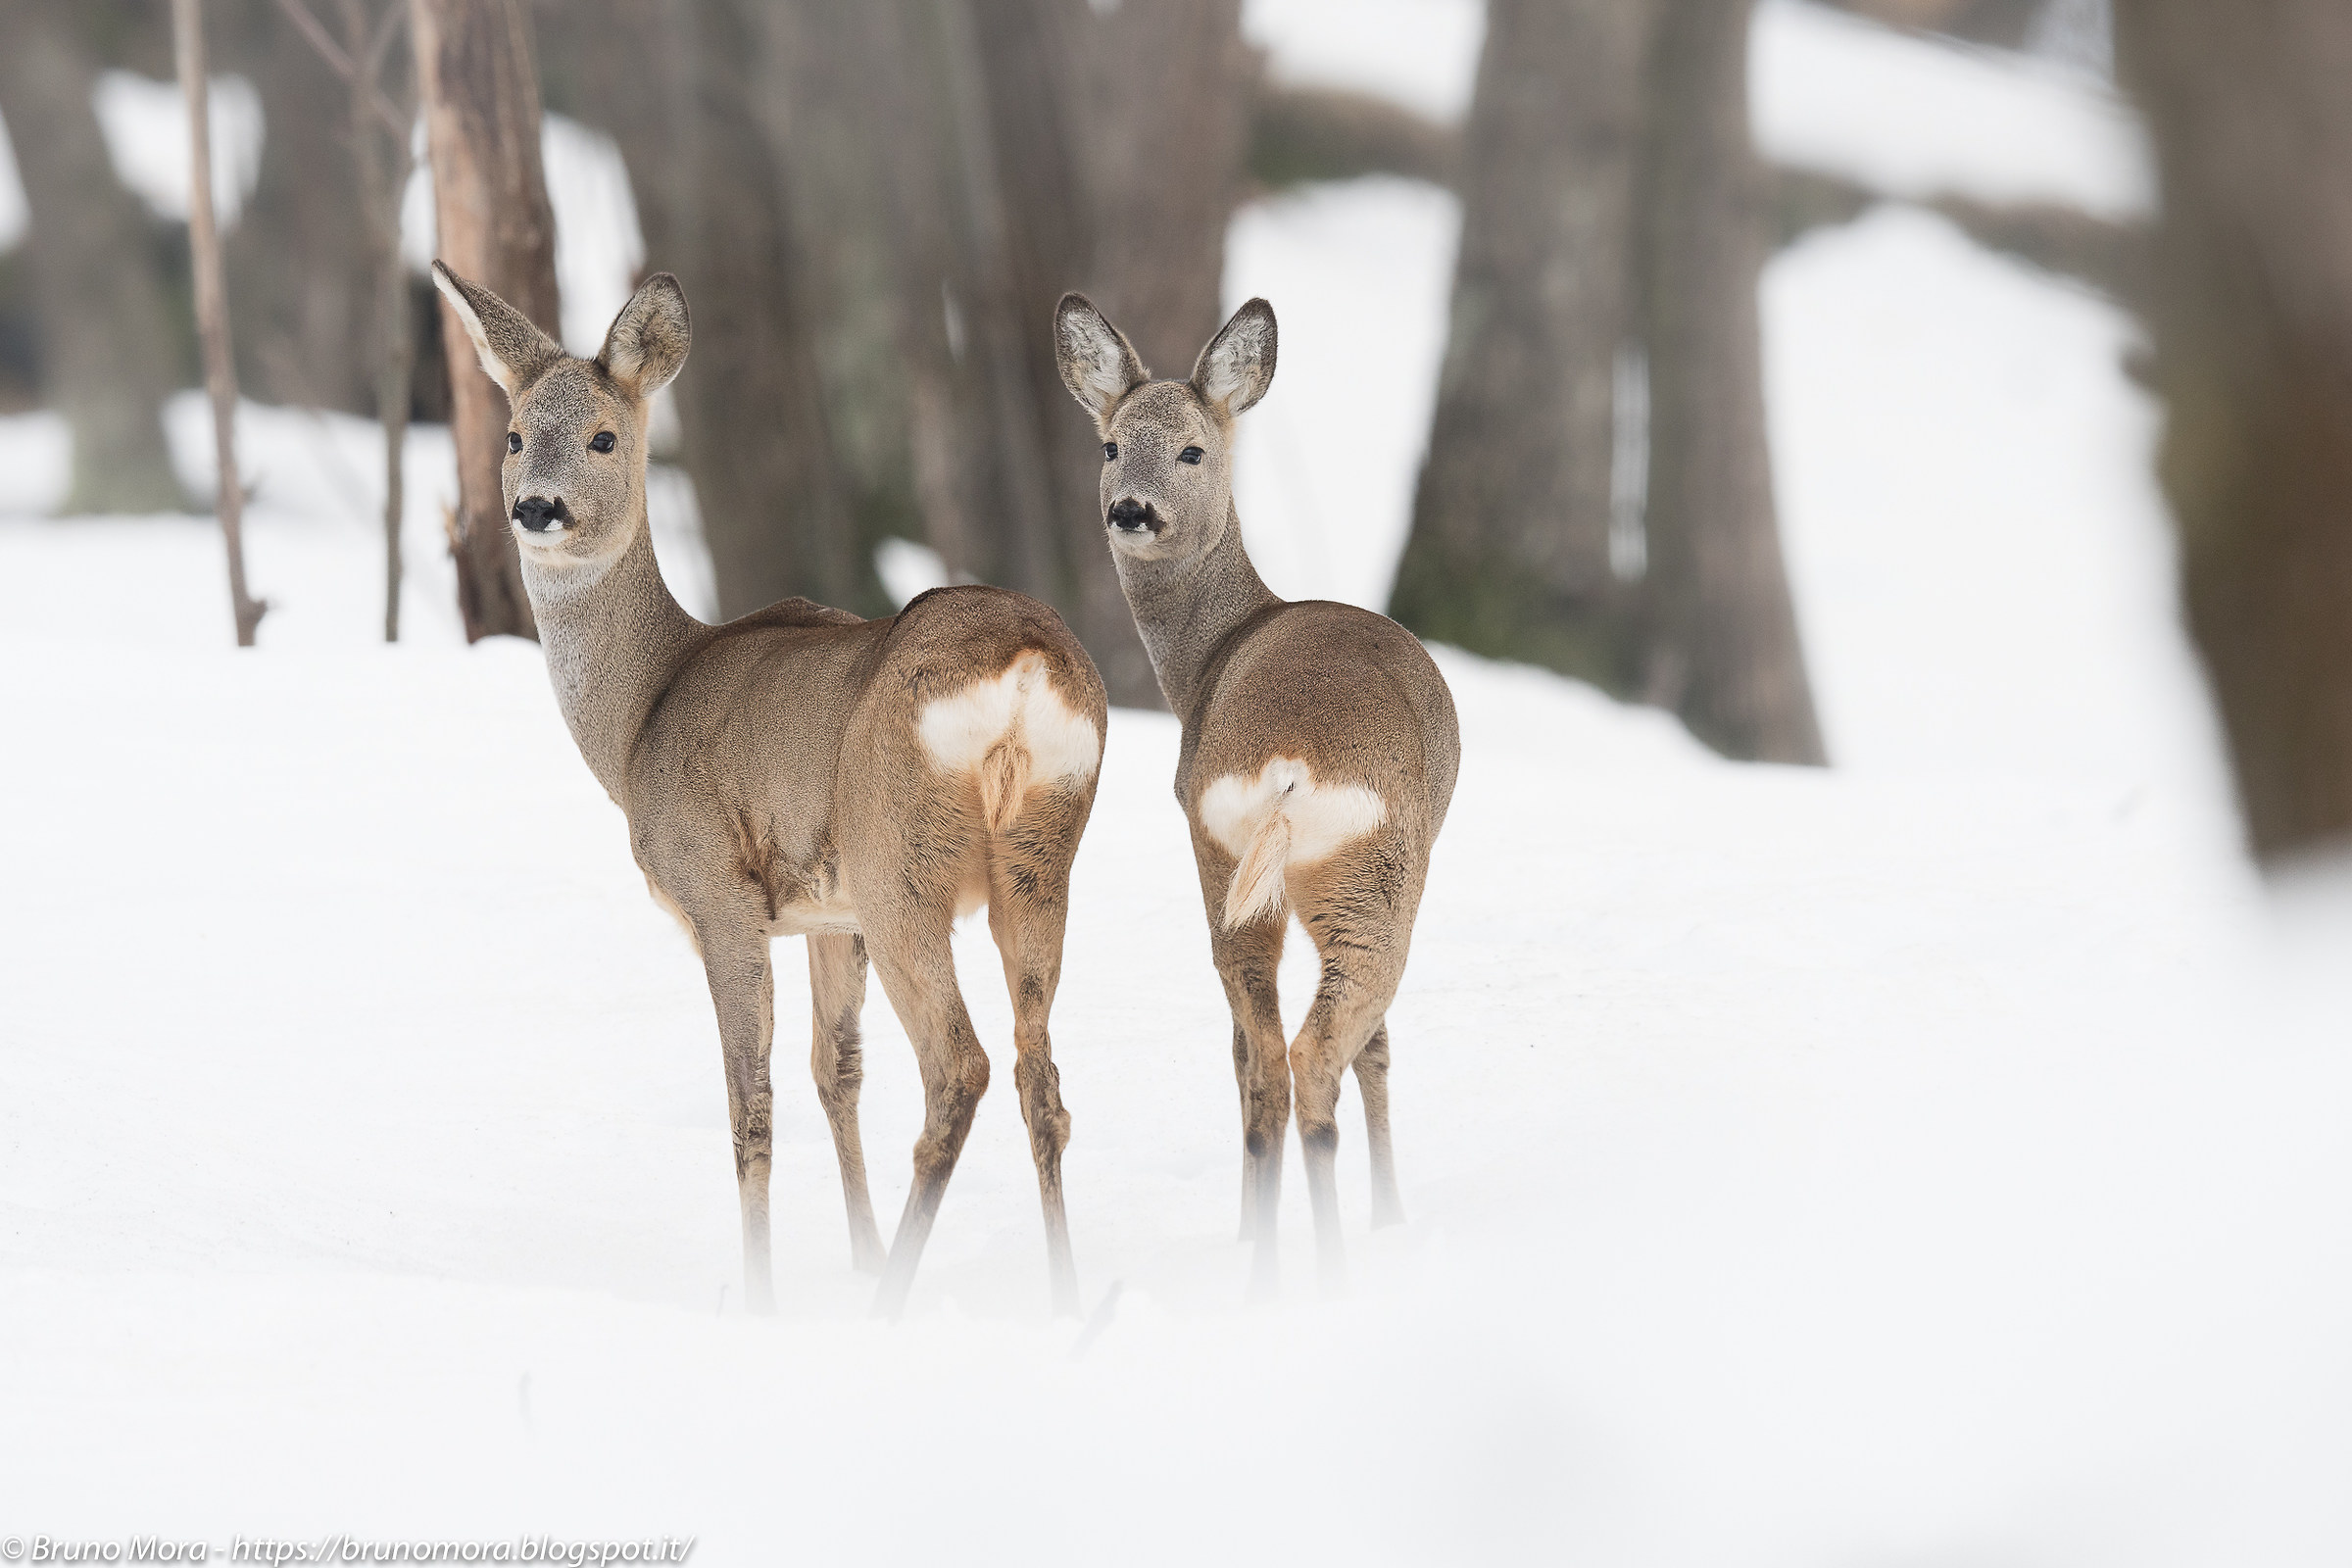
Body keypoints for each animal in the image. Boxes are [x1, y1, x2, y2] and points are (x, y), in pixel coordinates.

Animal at [430, 261, 1109, 1319]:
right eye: (513, 435)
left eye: (605, 436)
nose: (535, 508)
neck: (643, 710)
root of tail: (1027, 665)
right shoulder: (830, 915)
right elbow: (837, 1070)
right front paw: (856, 1253)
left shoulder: (719, 891)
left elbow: (750, 1097)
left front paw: (760, 1295)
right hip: (1039, 857)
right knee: (1041, 1077)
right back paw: (1063, 1294)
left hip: (898, 856)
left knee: (960, 1065)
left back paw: (892, 1306)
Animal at [1052, 292, 1460, 1295]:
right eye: (1110, 445)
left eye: (1192, 450)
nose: (1129, 509)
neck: (1211, 653)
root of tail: (1289, 762)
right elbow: (1378, 1048)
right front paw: (1391, 1216)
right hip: (1376, 874)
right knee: (1321, 1053)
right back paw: (1333, 1260)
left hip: (1226, 861)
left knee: (1260, 1056)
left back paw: (1263, 1259)